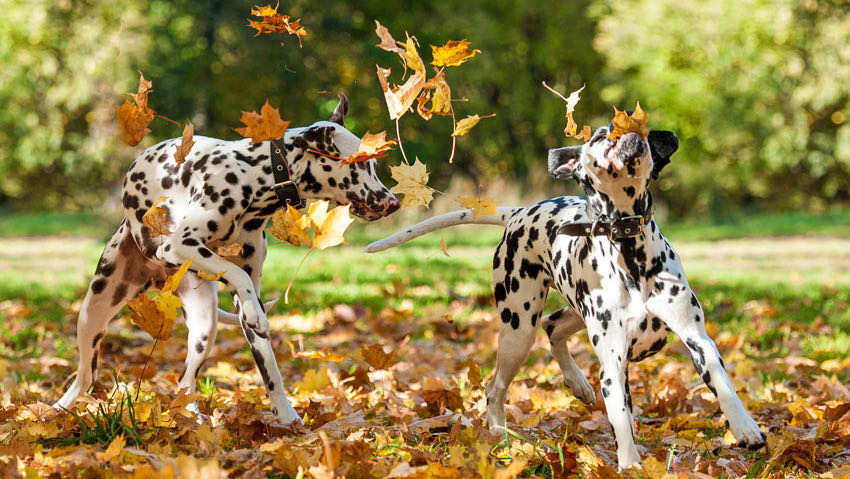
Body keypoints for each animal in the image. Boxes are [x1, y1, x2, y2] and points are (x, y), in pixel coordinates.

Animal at [54, 94, 400, 424]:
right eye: (360, 165)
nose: (394, 203)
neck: (258, 176)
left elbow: (269, 365)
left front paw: (288, 418)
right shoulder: (179, 246)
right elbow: (236, 273)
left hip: (204, 327)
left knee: (185, 381)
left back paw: (192, 419)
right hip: (94, 311)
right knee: (85, 377)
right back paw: (57, 410)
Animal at [368, 122, 764, 466]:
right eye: (601, 135)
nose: (623, 130)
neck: (629, 250)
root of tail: (519, 211)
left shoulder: (697, 339)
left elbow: (723, 385)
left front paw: (745, 427)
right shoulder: (613, 364)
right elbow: (621, 421)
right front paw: (630, 465)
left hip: (572, 312)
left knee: (552, 326)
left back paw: (576, 384)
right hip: (518, 327)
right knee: (497, 386)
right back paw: (500, 437)